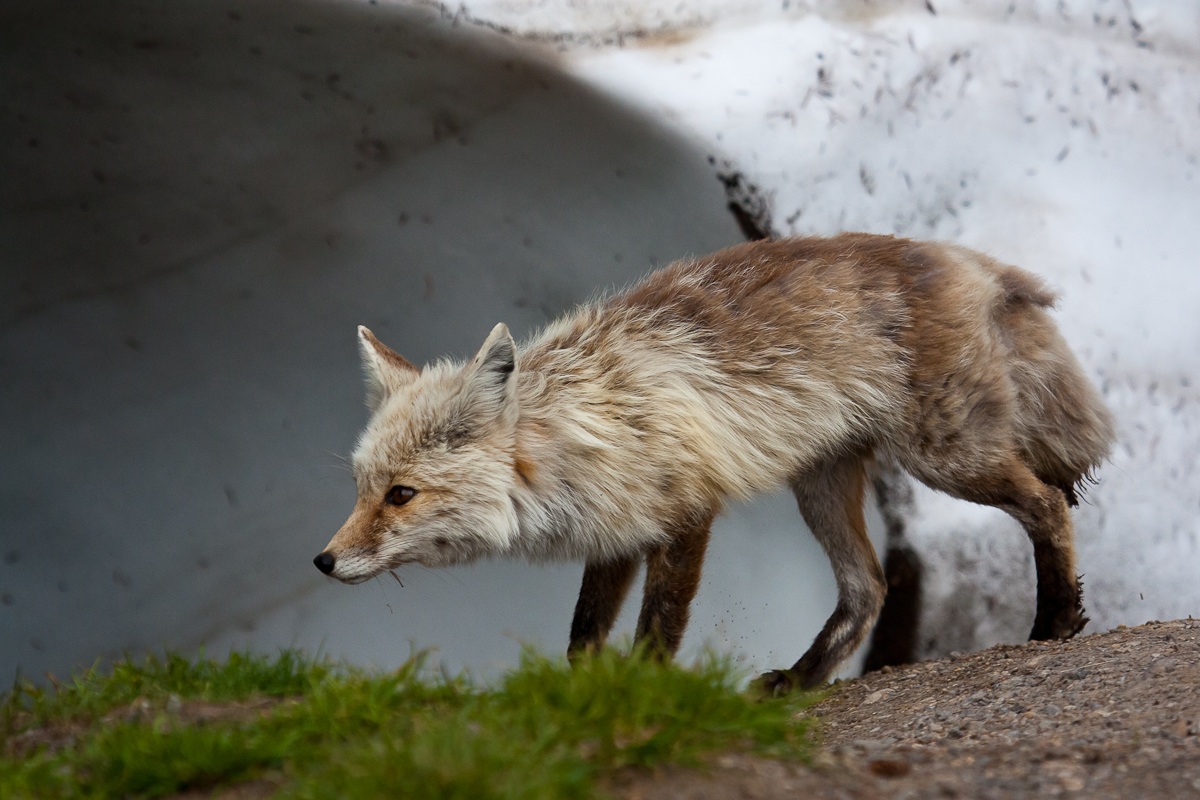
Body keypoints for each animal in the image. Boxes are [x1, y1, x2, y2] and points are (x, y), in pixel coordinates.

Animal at [314, 233, 1115, 694]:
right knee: (869, 589)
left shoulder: (684, 514)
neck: (583, 429)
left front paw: (640, 701)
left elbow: (655, 632)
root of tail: (970, 259)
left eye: (400, 495)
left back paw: (1055, 621)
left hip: (947, 456)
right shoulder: (617, 534)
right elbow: (581, 637)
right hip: (821, 486)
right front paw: (582, 705)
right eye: (360, 489)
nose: (322, 562)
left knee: (1047, 503)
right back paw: (801, 679)